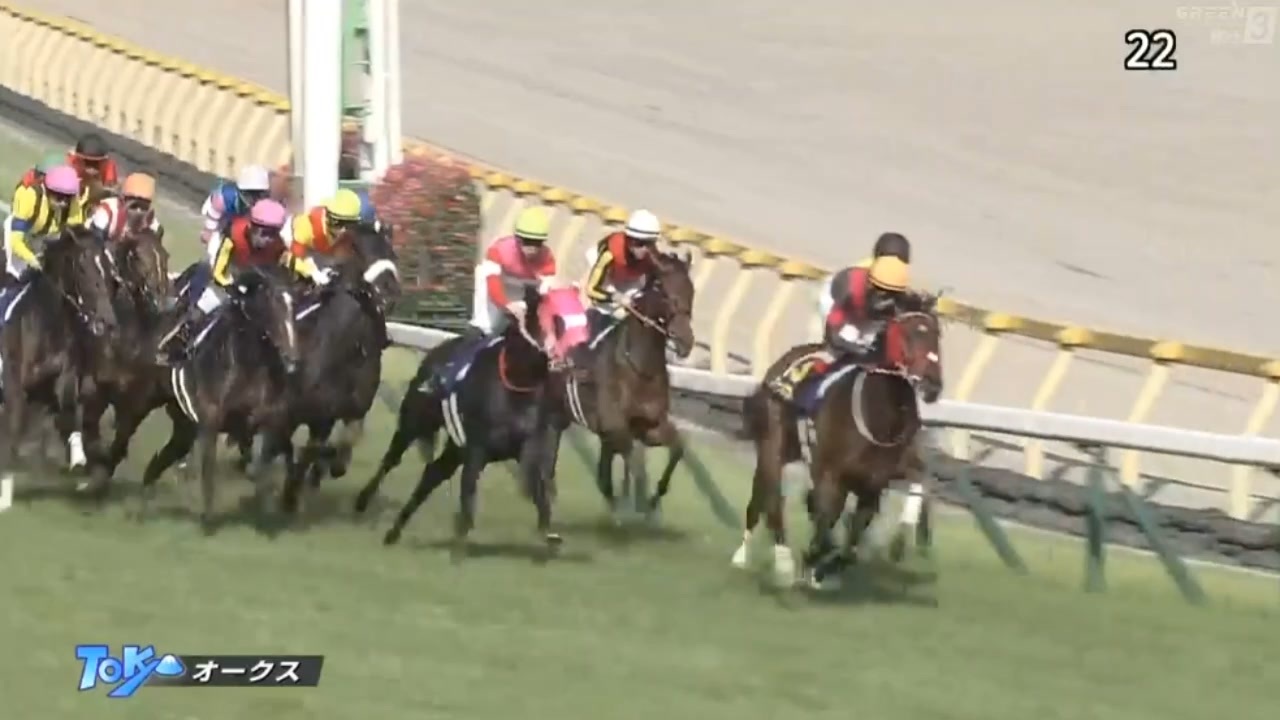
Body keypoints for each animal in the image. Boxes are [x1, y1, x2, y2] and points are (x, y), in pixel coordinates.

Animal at [0, 226, 118, 487]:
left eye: (108, 270)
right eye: (83, 268)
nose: (107, 321)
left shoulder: (61, 375)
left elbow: (68, 405)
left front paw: (79, 457)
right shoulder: (15, 383)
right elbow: (14, 429)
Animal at [134, 265, 301, 533]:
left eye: (293, 304)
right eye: (270, 302)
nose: (293, 359)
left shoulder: (265, 420)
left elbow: (267, 464)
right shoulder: (210, 424)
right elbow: (209, 473)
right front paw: (208, 522)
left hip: (184, 428)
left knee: (160, 460)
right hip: (143, 403)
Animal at [354, 284, 589, 553]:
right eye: (557, 321)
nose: (576, 358)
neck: (516, 385)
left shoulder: (526, 448)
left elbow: (538, 491)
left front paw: (550, 535)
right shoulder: (477, 449)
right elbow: (468, 497)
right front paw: (459, 543)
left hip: (455, 448)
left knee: (431, 475)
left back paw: (393, 532)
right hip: (414, 423)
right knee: (391, 460)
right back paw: (363, 501)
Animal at [543, 251, 695, 519]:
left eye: (691, 290)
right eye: (663, 289)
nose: (684, 341)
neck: (640, 368)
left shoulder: (649, 426)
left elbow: (677, 449)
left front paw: (653, 500)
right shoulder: (617, 429)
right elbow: (636, 467)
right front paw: (638, 507)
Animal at [733, 301, 943, 589]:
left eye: (937, 336)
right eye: (909, 334)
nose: (933, 385)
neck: (880, 415)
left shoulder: (874, 484)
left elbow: (850, 544)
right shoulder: (832, 475)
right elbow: (825, 519)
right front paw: (811, 561)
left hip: (792, 450)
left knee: (767, 495)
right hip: (773, 442)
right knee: (772, 500)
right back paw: (773, 560)